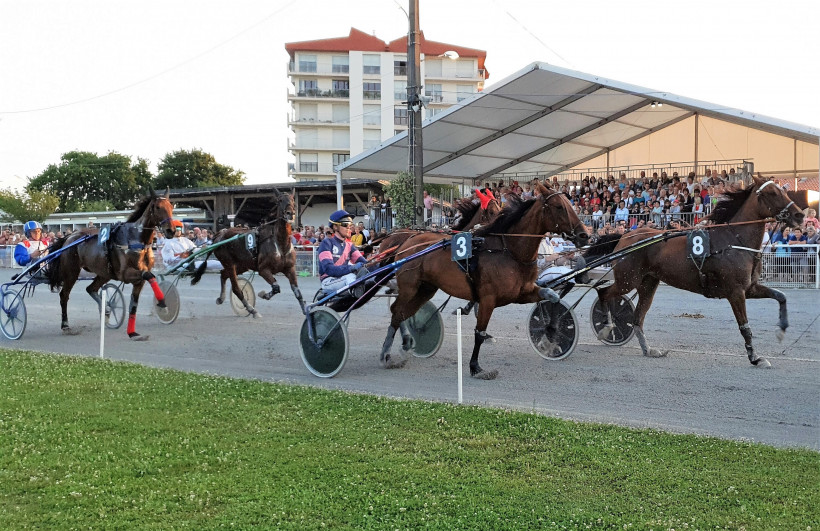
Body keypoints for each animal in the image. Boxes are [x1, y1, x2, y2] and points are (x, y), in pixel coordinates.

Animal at [45, 191, 176, 338]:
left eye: (171, 206)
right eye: (158, 207)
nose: (171, 230)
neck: (134, 239)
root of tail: (69, 237)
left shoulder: (139, 279)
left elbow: (134, 304)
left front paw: (132, 332)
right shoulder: (125, 274)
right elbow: (150, 276)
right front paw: (163, 303)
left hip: (104, 273)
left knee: (91, 289)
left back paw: (106, 309)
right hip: (71, 273)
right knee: (64, 295)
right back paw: (66, 325)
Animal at [191, 190, 306, 318]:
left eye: (292, 200)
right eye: (280, 200)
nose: (290, 213)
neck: (280, 244)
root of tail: (219, 234)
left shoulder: (290, 269)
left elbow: (298, 292)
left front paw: (306, 311)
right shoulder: (263, 270)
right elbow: (276, 287)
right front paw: (263, 294)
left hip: (242, 265)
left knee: (223, 274)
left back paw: (221, 298)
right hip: (229, 262)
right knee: (236, 288)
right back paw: (252, 309)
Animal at [382, 185, 588, 380]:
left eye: (570, 205)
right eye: (559, 207)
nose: (584, 235)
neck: (509, 251)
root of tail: (407, 242)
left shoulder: (522, 293)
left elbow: (551, 296)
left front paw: (550, 331)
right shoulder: (488, 299)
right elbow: (479, 333)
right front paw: (476, 367)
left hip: (425, 289)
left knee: (402, 313)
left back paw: (405, 343)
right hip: (410, 287)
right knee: (396, 311)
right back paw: (387, 354)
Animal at [592, 177, 804, 368]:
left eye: (783, 191)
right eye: (772, 193)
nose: (799, 215)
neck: (734, 240)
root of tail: (626, 236)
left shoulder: (749, 288)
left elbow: (781, 296)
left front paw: (781, 330)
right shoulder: (736, 292)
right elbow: (745, 328)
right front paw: (755, 358)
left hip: (648, 283)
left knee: (637, 317)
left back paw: (648, 349)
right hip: (628, 280)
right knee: (603, 292)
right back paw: (607, 327)